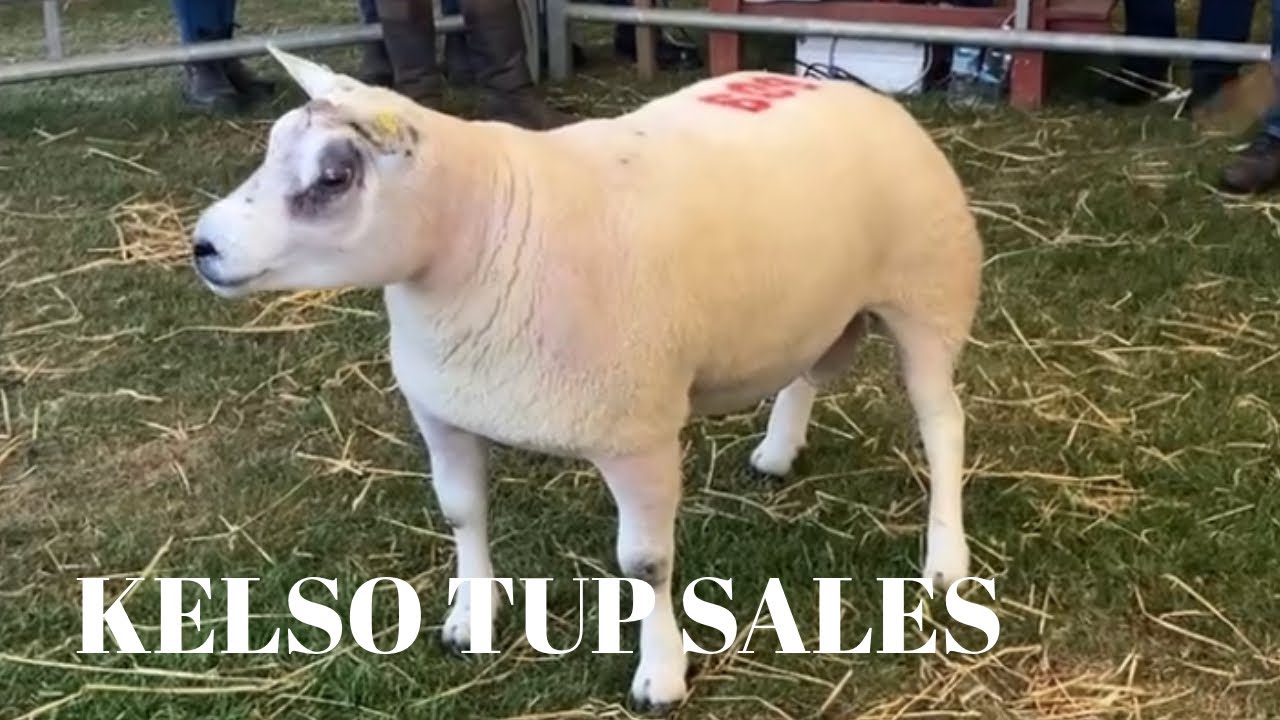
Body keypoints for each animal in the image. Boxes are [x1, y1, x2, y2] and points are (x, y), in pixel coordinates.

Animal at [189, 44, 984, 712]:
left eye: (334, 177)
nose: (203, 246)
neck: (481, 233)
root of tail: (845, 88)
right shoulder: (442, 411)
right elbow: (461, 513)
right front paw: (471, 617)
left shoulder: (639, 433)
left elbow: (646, 564)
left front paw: (660, 674)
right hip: (815, 302)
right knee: (805, 372)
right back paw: (778, 451)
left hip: (929, 294)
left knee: (943, 423)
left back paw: (946, 558)